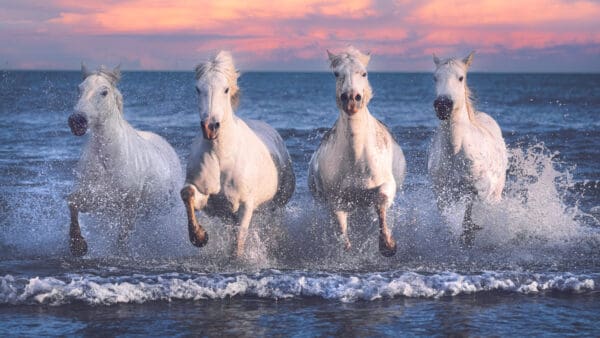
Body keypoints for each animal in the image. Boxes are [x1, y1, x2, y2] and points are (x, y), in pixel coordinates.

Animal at [66, 65, 182, 256]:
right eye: (79, 89)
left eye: (104, 92)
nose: (77, 121)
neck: (108, 160)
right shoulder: (100, 200)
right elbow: (72, 202)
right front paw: (77, 245)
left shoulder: (128, 205)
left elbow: (122, 239)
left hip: (163, 207)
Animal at [182, 50, 296, 258]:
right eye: (198, 89)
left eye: (226, 89)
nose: (210, 127)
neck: (221, 157)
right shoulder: (207, 198)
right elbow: (187, 194)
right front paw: (199, 236)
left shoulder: (245, 206)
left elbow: (238, 242)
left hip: (275, 206)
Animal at [310, 46, 408, 256]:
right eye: (336, 74)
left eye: (364, 73)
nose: (351, 99)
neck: (356, 159)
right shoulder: (335, 200)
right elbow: (341, 227)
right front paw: (347, 247)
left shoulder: (387, 185)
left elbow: (381, 201)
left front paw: (388, 245)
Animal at [428, 51, 508, 244]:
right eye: (435, 77)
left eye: (461, 77)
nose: (443, 105)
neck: (455, 151)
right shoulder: (441, 194)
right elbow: (448, 217)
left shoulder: (483, 188)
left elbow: (472, 198)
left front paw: (469, 231)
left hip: (496, 194)